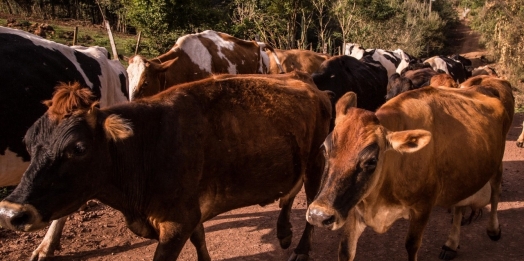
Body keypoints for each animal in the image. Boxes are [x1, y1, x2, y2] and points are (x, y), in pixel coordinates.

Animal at [0, 71, 332, 260]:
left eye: (78, 148)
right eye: (28, 142)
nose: (10, 212)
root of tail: (307, 81)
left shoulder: (176, 223)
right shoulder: (191, 211)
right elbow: (200, 239)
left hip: (316, 158)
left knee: (310, 201)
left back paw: (301, 249)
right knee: (291, 191)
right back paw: (284, 231)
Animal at [304, 74, 512, 258]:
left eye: (372, 160)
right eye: (324, 149)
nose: (318, 215)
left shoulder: (423, 208)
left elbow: (411, 245)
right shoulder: (354, 207)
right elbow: (345, 249)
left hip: (497, 164)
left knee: (495, 192)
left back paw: (493, 229)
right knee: (460, 204)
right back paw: (451, 244)